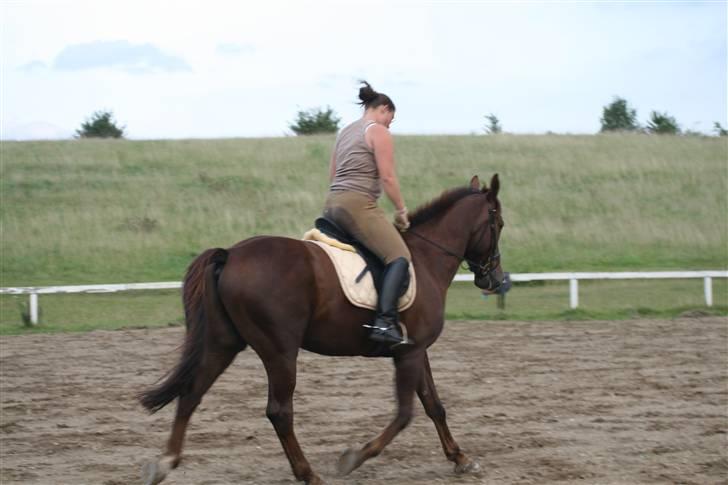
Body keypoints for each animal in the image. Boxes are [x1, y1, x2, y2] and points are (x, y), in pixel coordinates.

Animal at [141, 174, 506, 484]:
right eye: (498, 223)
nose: (494, 279)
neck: (426, 258)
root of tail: (230, 254)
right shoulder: (410, 353)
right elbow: (405, 413)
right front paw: (355, 457)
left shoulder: (414, 349)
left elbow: (434, 405)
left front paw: (461, 458)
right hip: (279, 351)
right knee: (279, 412)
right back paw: (308, 474)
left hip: (223, 343)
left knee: (192, 394)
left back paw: (165, 464)